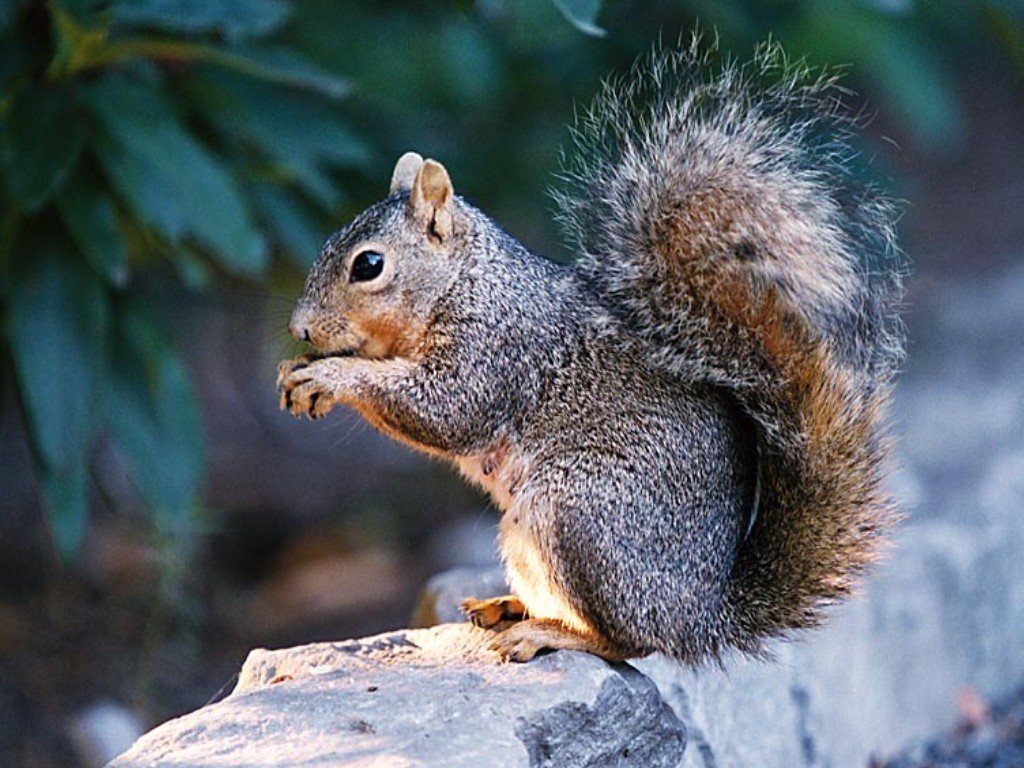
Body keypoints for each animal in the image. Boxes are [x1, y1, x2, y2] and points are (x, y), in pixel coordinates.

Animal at [278, 39, 905, 667]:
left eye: (369, 265)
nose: (299, 329)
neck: (466, 282)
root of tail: (699, 617)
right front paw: (297, 369)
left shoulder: (496, 350)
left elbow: (448, 410)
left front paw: (329, 376)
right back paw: (510, 607)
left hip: (581, 513)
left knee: (629, 642)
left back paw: (548, 633)